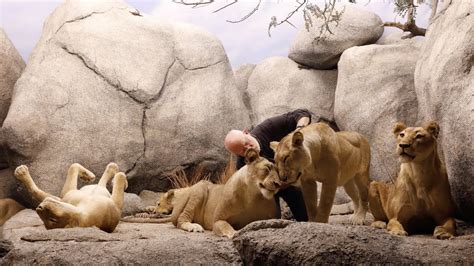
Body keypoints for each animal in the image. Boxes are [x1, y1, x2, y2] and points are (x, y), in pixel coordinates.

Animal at [122, 149, 282, 238]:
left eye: (279, 172)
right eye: (267, 168)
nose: (278, 184)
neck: (253, 195)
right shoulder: (217, 219)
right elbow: (224, 225)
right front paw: (233, 233)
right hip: (200, 188)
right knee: (181, 219)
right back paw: (194, 227)